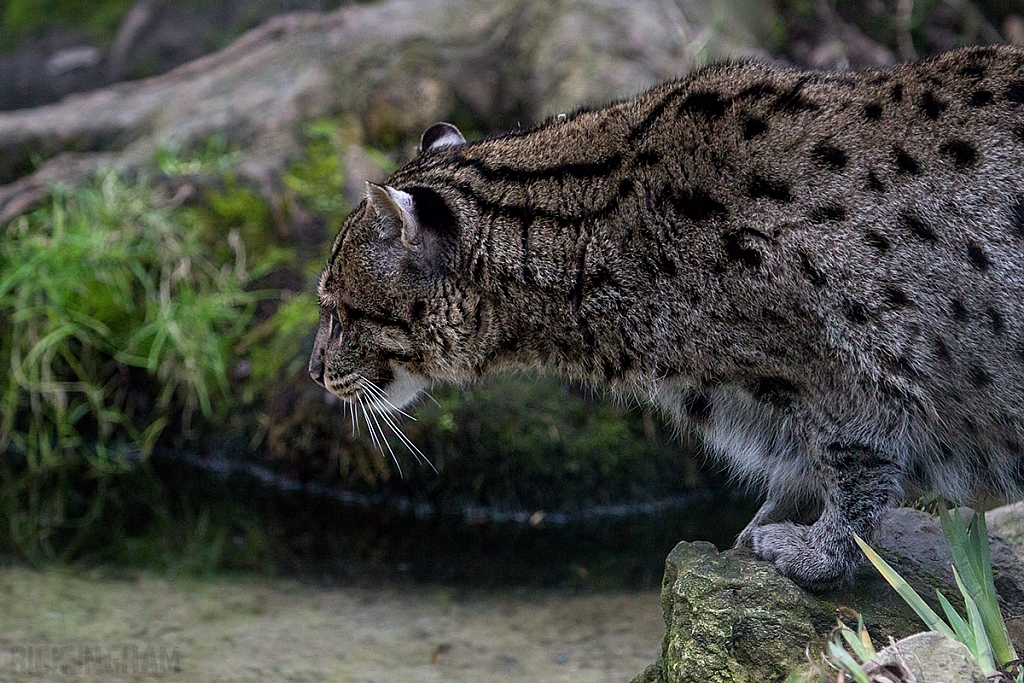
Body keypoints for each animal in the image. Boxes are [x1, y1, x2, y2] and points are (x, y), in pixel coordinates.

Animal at [305, 45, 1024, 589]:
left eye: (335, 310)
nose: (314, 372)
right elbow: (803, 470)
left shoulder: (856, 378)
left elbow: (857, 480)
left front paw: (815, 554)